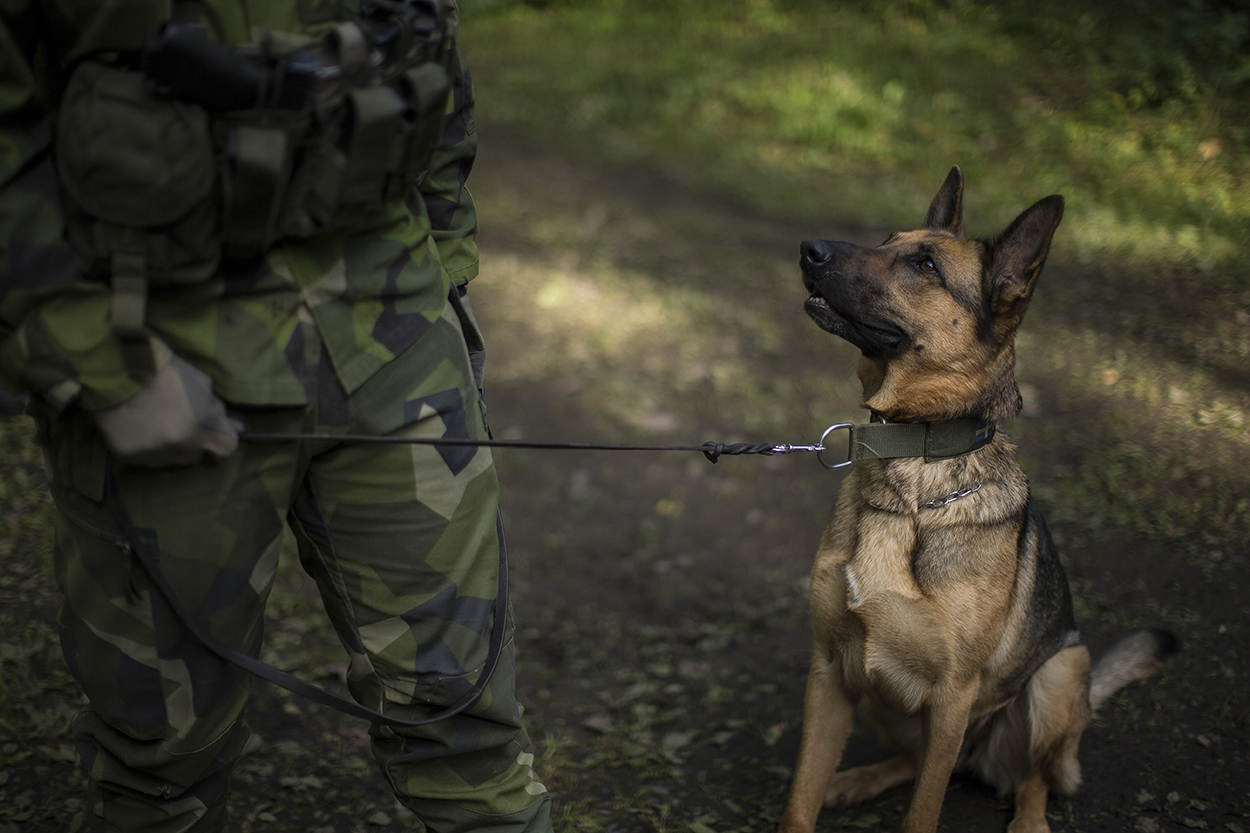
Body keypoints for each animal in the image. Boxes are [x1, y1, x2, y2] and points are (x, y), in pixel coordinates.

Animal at [778, 166, 1176, 833]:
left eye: (926, 265)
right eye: (887, 241)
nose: (809, 249)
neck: (914, 466)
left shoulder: (952, 696)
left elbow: (924, 810)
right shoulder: (829, 672)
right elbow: (801, 799)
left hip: (1059, 673)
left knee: (1033, 780)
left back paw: (1029, 821)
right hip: (880, 695)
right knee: (910, 761)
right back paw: (857, 779)